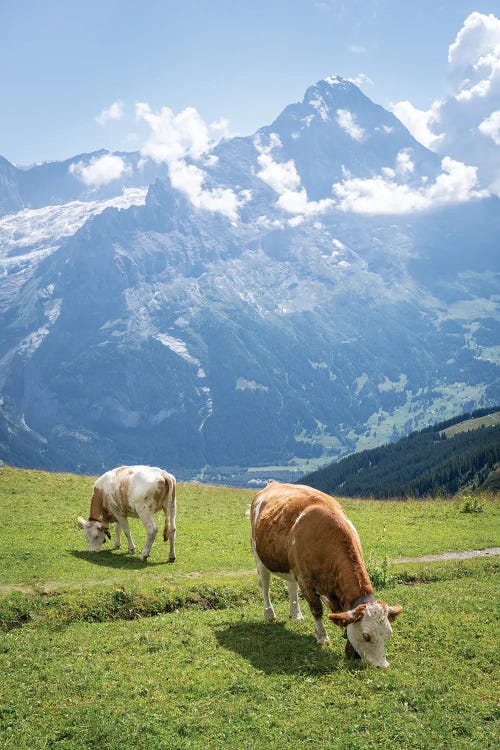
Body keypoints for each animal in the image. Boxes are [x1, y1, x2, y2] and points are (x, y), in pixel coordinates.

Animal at [250, 482, 402, 668]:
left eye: (388, 634)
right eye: (366, 636)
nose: (383, 666)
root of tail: (273, 483)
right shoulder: (306, 580)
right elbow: (317, 610)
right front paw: (322, 637)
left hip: (290, 566)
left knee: (291, 587)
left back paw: (296, 614)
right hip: (259, 556)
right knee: (265, 585)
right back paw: (269, 614)